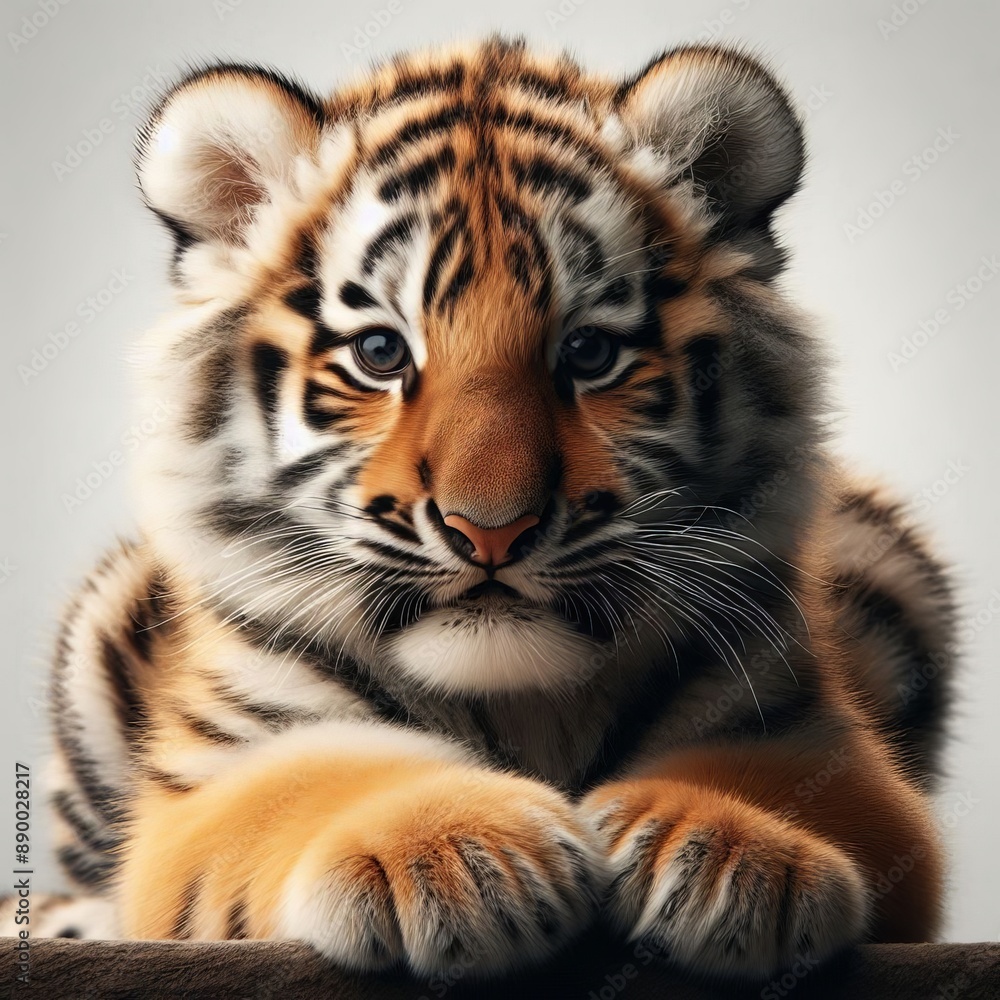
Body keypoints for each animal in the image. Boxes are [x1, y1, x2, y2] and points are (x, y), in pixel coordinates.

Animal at [4, 37, 955, 983]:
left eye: (590, 353)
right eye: (381, 353)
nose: (491, 530)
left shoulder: (816, 737)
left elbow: (786, 788)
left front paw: (729, 858)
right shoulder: (222, 764)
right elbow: (312, 786)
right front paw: (456, 858)